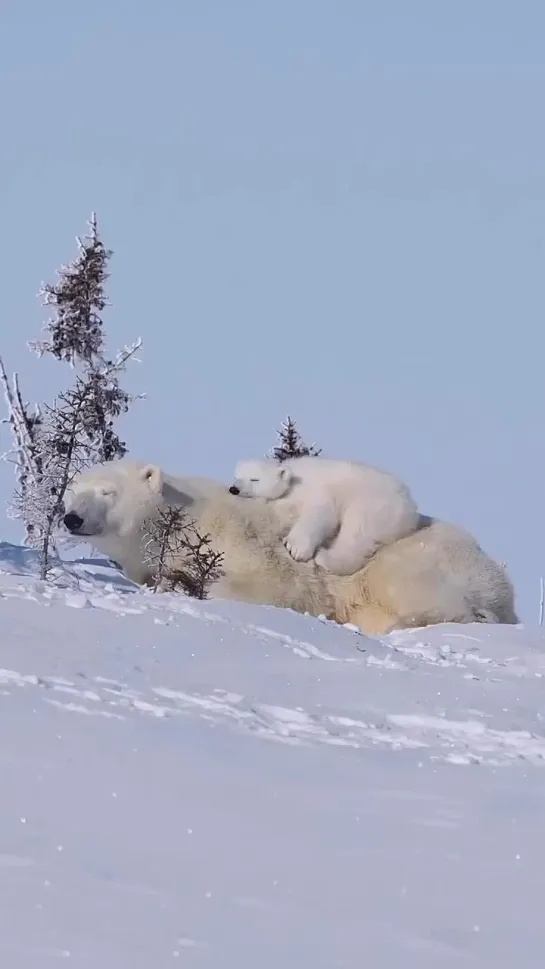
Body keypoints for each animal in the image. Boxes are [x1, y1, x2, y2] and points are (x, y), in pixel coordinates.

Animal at [61, 462, 516, 636]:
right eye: (72, 491)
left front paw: (186, 585)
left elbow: (270, 585)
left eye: (107, 491)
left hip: (412, 559)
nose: (72, 519)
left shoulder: (238, 539)